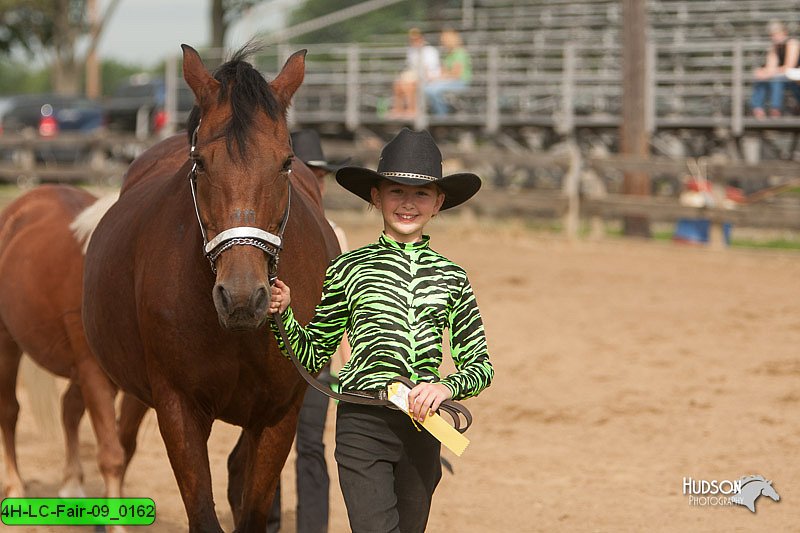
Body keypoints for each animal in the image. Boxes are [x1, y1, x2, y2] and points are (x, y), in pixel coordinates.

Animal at [0, 186, 141, 508]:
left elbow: (125, 443)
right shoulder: (94, 373)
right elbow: (113, 454)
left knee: (69, 409)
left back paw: (72, 485)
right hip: (7, 343)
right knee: (9, 410)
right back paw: (14, 487)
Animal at [83, 43, 340, 528]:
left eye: (286, 162)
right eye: (200, 162)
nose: (241, 297)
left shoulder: (279, 415)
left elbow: (252, 508)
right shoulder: (178, 407)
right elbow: (202, 513)